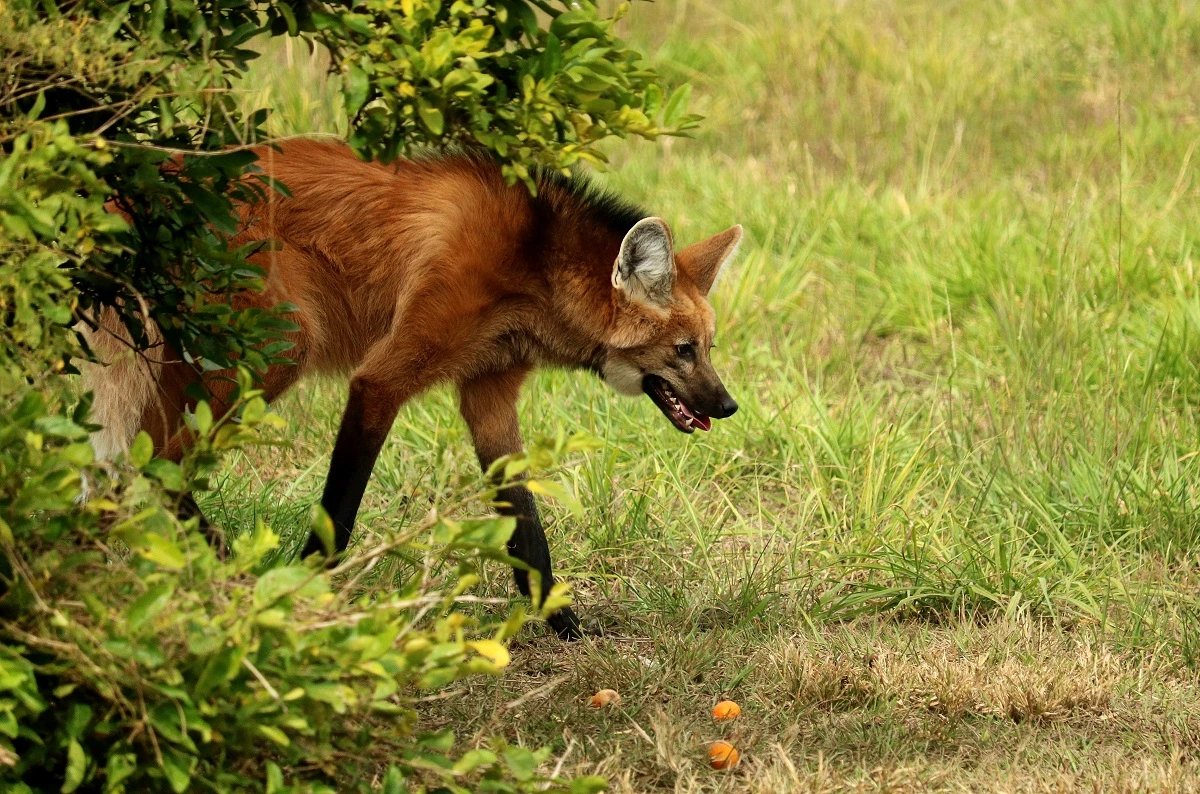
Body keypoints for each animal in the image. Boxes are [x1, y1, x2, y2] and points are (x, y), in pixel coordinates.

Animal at [82, 138, 739, 642]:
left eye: (708, 347)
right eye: (684, 350)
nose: (728, 406)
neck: (533, 263)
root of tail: (129, 194)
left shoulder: (488, 396)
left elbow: (527, 529)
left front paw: (567, 628)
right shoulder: (381, 379)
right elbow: (339, 515)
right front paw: (304, 597)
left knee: (126, 471)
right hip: (280, 346)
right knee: (158, 468)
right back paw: (231, 577)